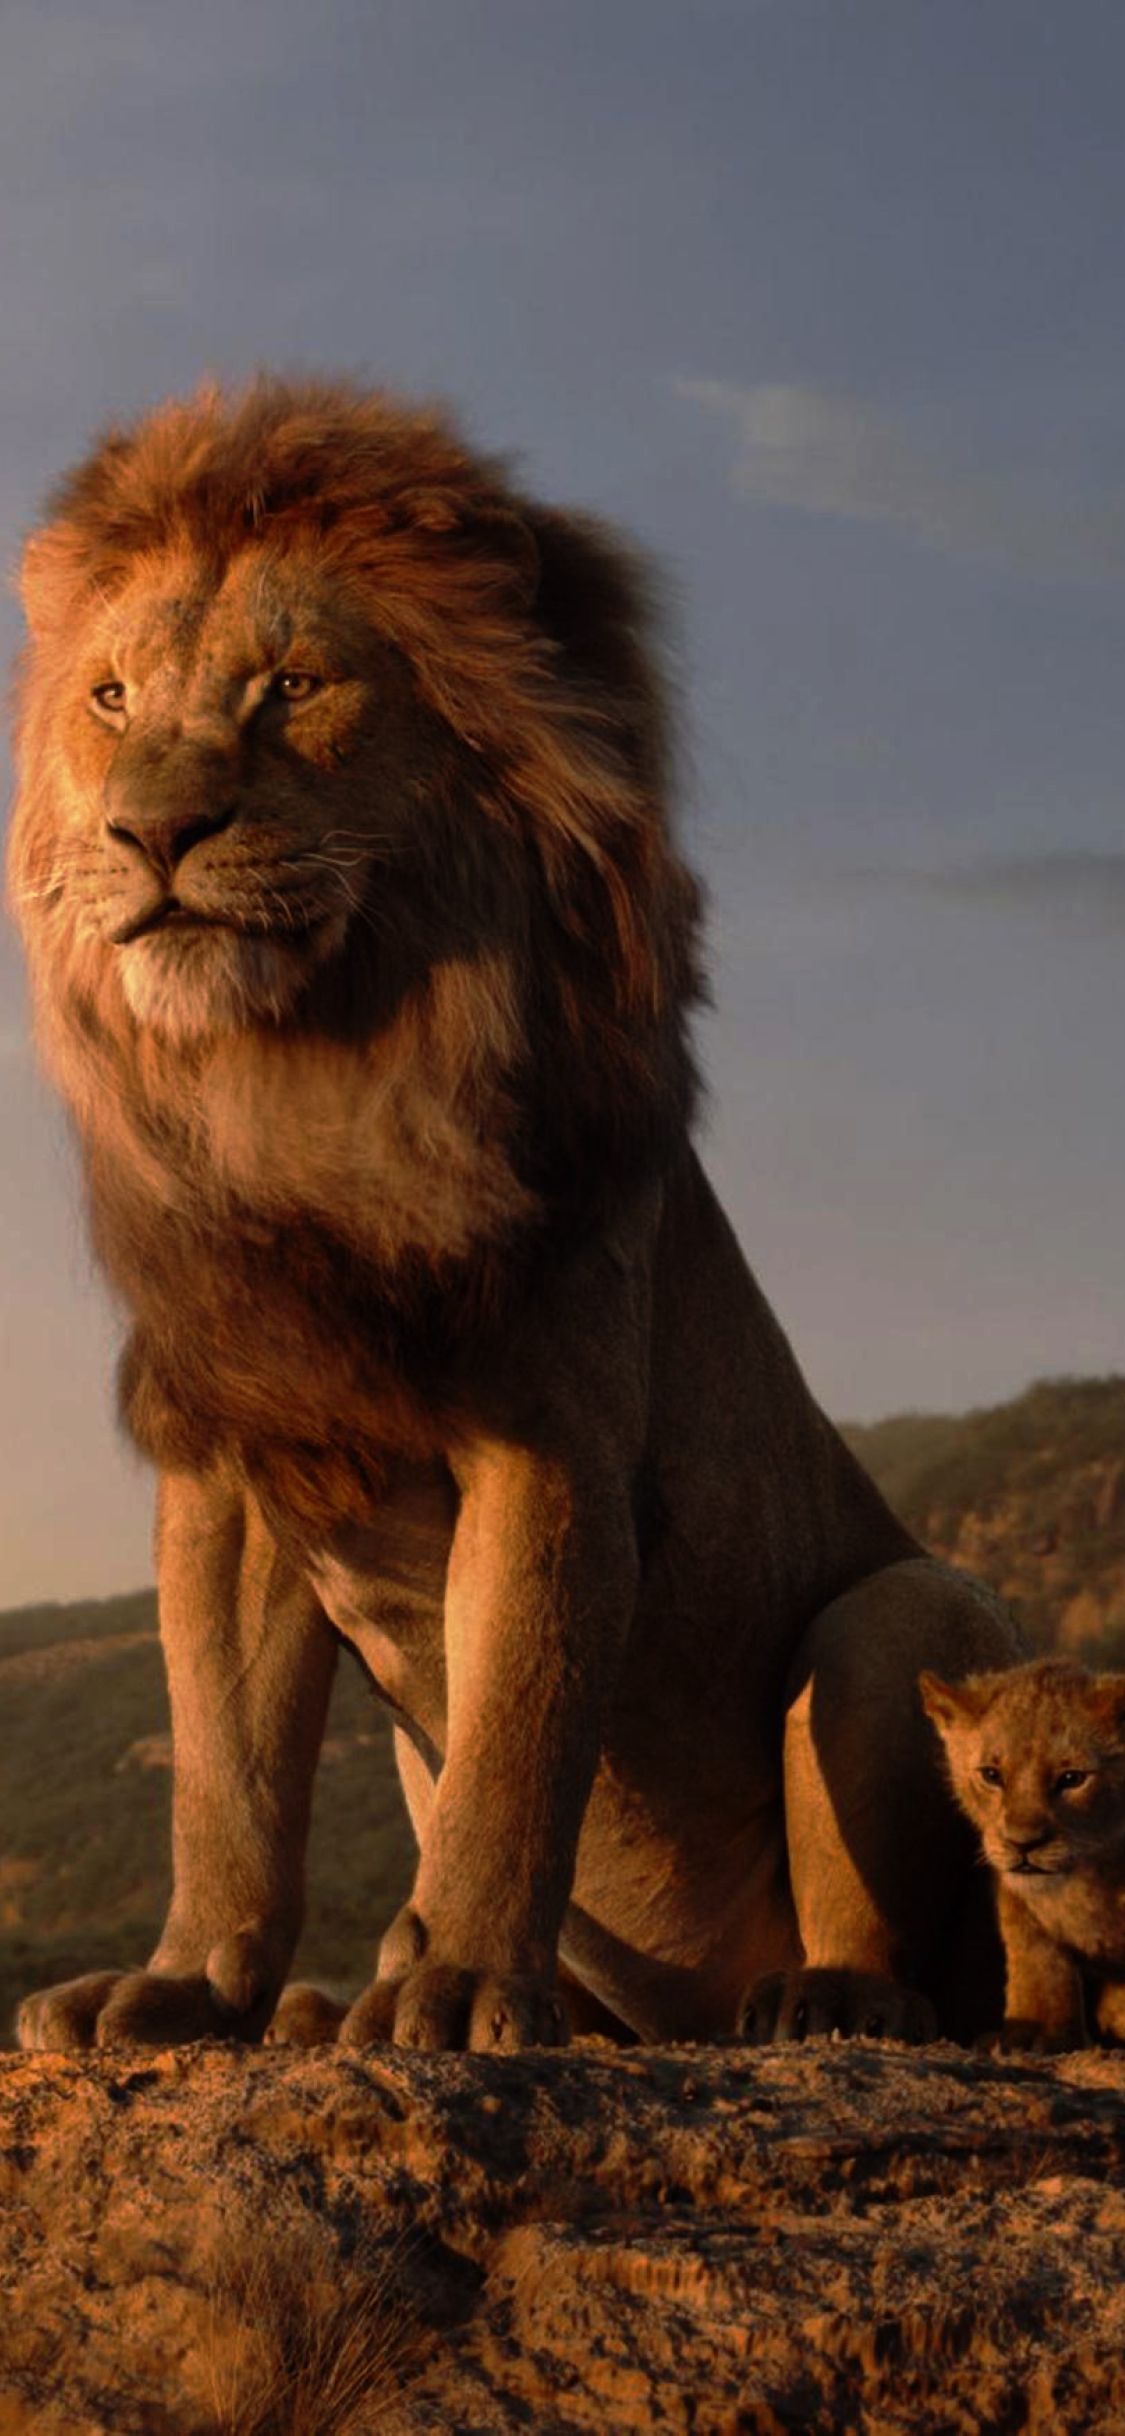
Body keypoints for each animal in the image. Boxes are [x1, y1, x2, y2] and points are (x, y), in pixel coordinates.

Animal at [7, 376, 1020, 2055]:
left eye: (293, 687)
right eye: (109, 700)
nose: (151, 833)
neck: (301, 1082)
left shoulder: (550, 1445)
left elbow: (515, 1741)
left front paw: (464, 1984)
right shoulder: (234, 1464)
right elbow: (225, 1776)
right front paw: (188, 1985)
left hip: (902, 1611)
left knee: (902, 1941)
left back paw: (814, 2000)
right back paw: (330, 2007)